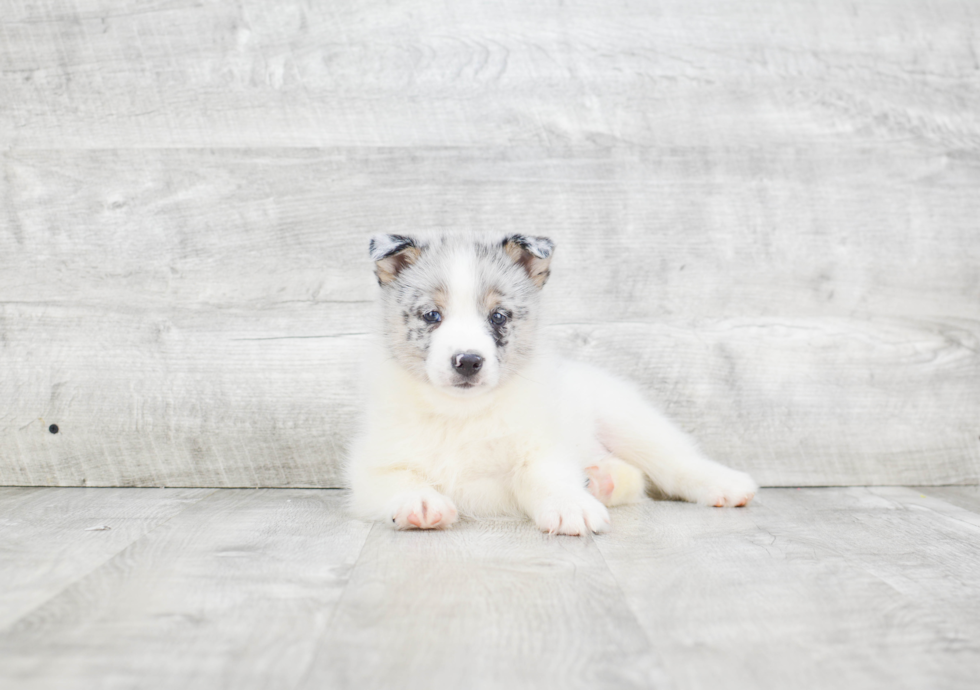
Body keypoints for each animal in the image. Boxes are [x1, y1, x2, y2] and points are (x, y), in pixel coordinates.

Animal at [348, 234, 760, 536]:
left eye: (499, 316)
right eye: (432, 315)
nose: (468, 361)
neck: (462, 414)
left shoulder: (540, 447)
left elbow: (547, 476)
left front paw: (569, 505)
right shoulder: (370, 466)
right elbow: (397, 479)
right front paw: (418, 502)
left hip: (628, 419)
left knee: (674, 463)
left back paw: (724, 485)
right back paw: (602, 480)